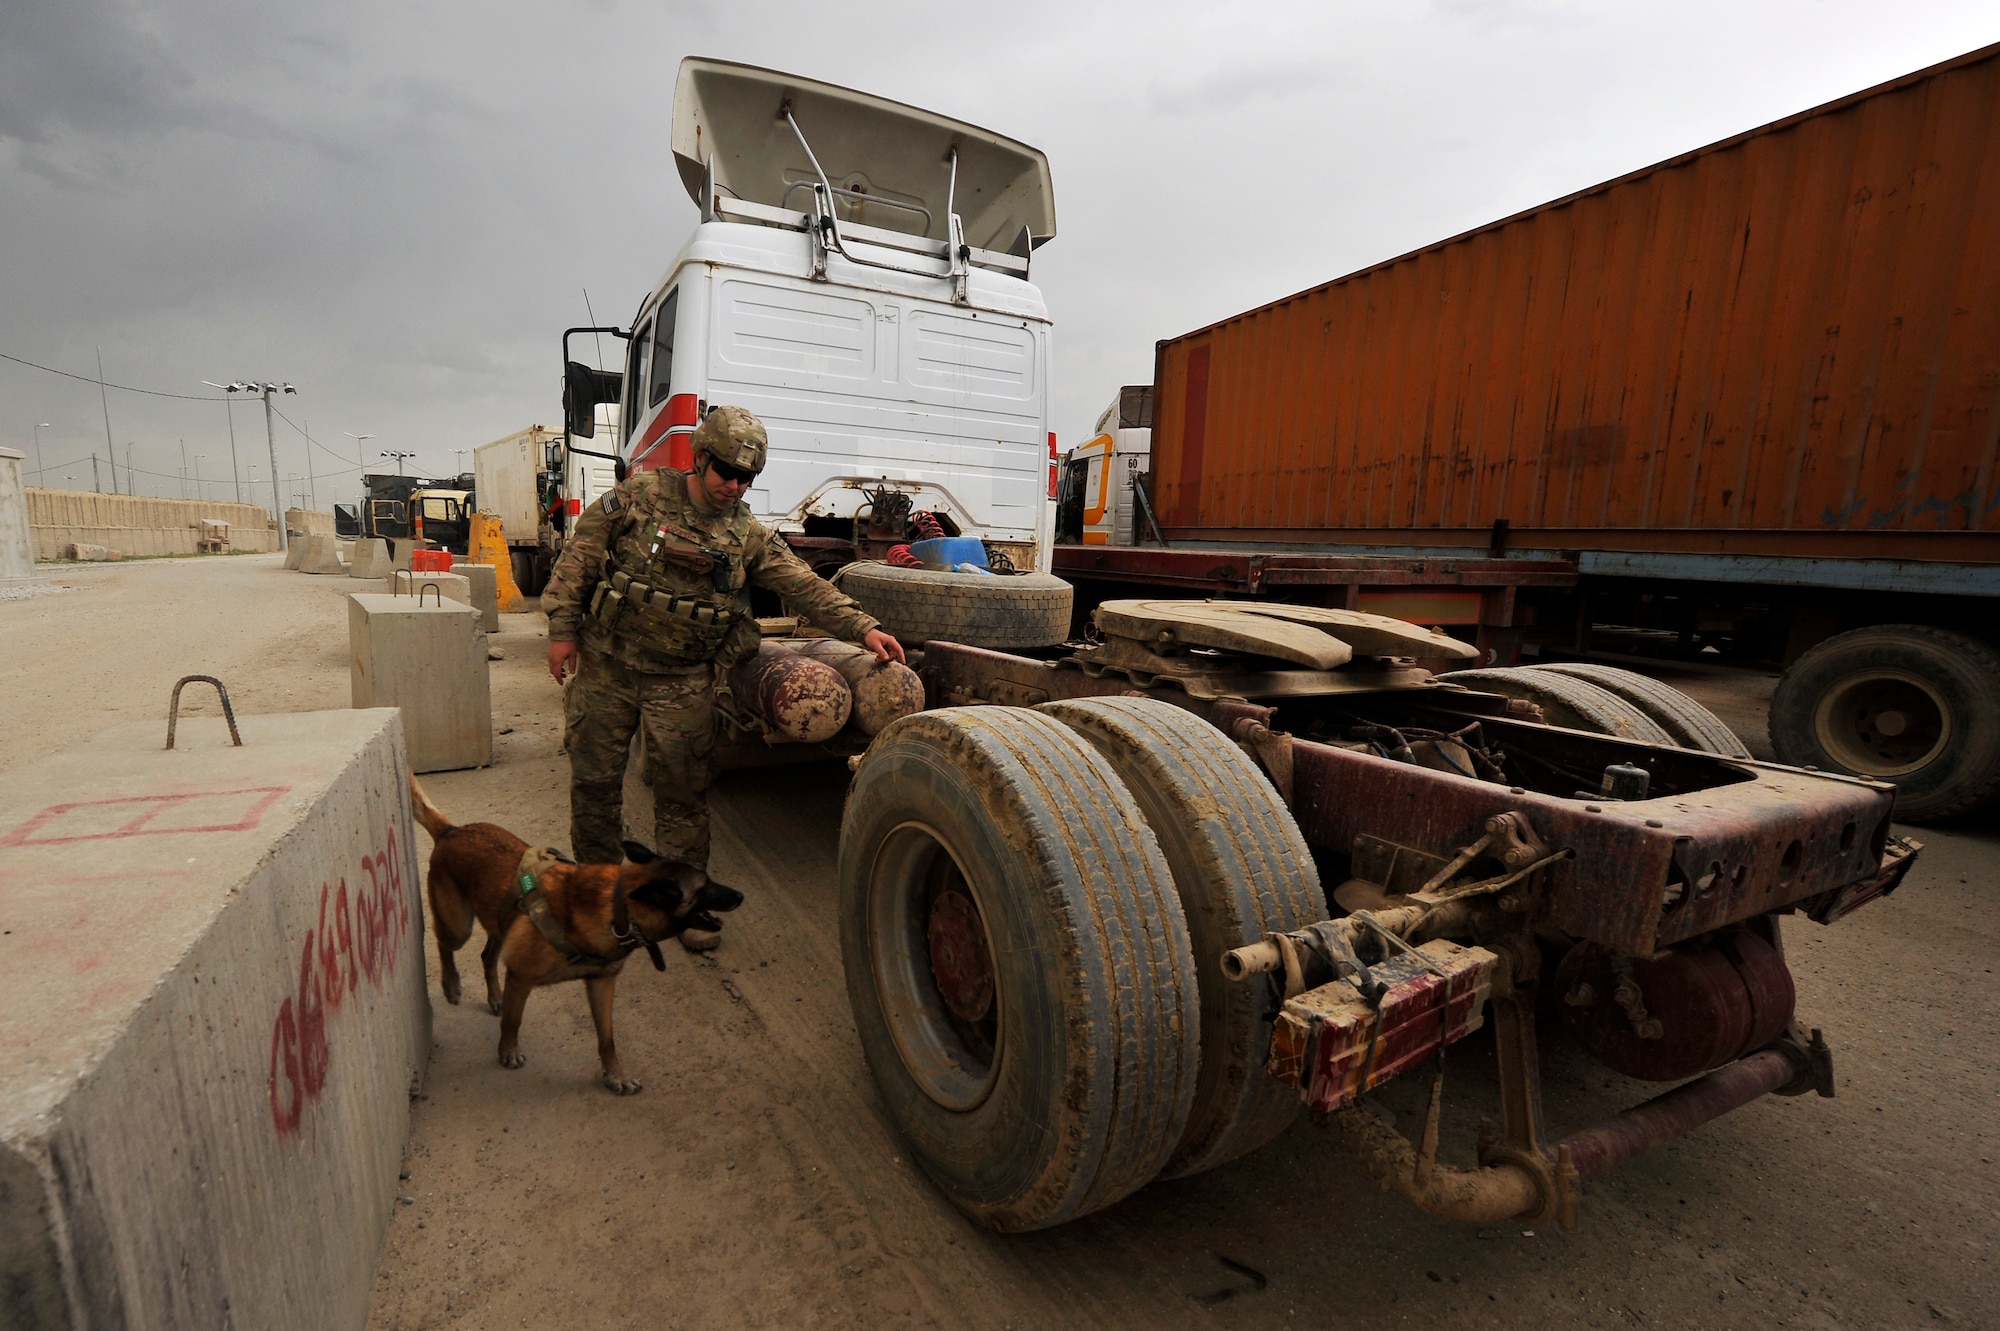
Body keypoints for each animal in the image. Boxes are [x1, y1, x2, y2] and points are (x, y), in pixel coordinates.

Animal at [410, 771, 748, 1095]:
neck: (618, 907)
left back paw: (495, 996)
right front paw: (508, 1051)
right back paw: (451, 984)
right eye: (704, 889)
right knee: (443, 943)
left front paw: (616, 1075)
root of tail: (452, 830)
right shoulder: (520, 977)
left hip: (498, 922)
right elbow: (513, 1021)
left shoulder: (601, 984)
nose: (741, 895)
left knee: (487, 955)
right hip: (458, 926)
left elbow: (607, 1038)